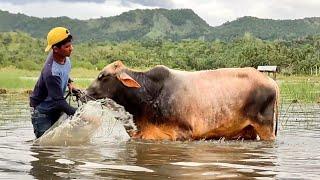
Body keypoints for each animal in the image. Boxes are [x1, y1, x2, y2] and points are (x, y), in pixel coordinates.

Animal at [84, 61, 278, 141]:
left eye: (103, 76)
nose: (84, 93)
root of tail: (271, 81)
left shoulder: (183, 133)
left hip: (265, 127)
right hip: (247, 130)